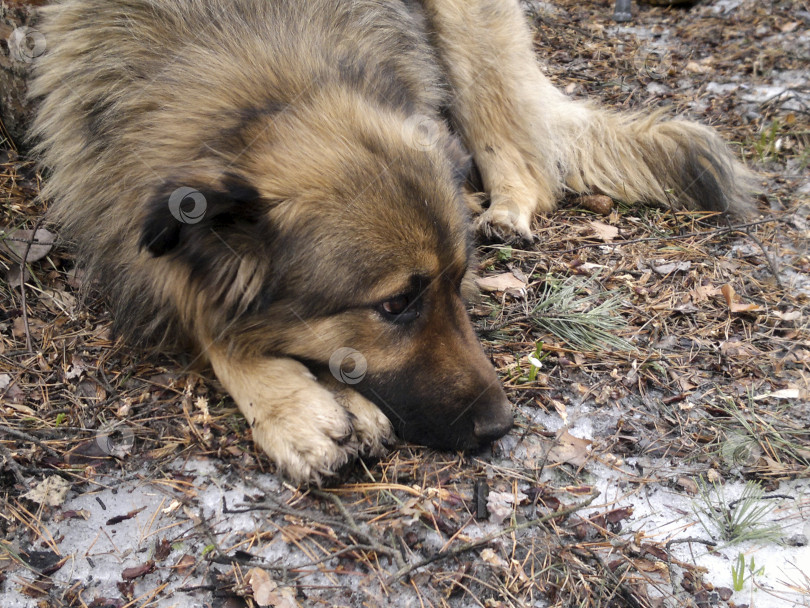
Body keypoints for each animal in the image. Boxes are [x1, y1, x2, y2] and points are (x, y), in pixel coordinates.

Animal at [31, 0, 752, 484]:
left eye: (459, 283)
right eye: (395, 305)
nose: (501, 426)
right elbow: (209, 316)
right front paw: (297, 408)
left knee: (520, 152)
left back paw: (507, 209)